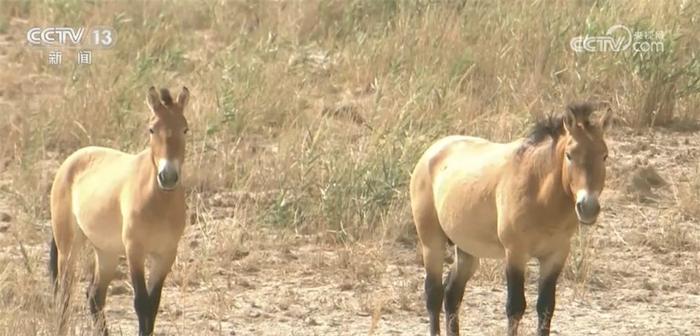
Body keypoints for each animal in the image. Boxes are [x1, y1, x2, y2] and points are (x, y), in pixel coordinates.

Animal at [48, 86, 191, 336]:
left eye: (185, 128)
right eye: (152, 129)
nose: (168, 176)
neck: (159, 202)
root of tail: (70, 161)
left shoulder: (165, 255)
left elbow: (153, 304)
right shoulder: (135, 250)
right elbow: (141, 303)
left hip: (106, 252)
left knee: (94, 296)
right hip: (68, 247)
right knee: (65, 294)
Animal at [410, 103, 612, 336]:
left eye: (604, 155)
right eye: (570, 155)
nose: (588, 207)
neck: (540, 194)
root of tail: (431, 152)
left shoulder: (555, 256)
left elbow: (546, 307)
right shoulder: (515, 253)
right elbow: (515, 307)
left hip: (467, 251)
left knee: (452, 294)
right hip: (432, 243)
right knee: (433, 295)